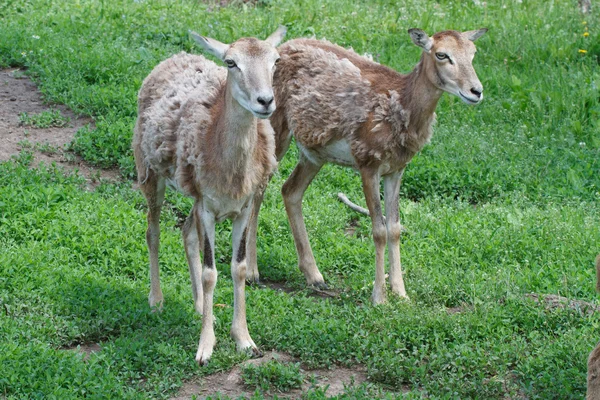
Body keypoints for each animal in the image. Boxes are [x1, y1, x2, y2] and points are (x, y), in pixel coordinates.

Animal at [133, 26, 286, 366]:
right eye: (231, 62)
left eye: (275, 61)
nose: (265, 101)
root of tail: (174, 57)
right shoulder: (207, 207)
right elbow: (210, 273)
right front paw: (205, 349)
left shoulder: (242, 207)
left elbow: (238, 269)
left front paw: (244, 340)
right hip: (149, 171)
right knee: (152, 232)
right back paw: (156, 300)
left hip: (193, 193)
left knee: (186, 230)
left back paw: (202, 307)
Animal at [246, 28, 486, 304]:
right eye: (442, 54)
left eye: (473, 53)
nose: (476, 91)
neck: (403, 106)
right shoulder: (367, 161)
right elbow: (378, 230)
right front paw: (379, 297)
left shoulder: (397, 168)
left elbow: (395, 228)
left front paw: (401, 293)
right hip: (275, 125)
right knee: (258, 187)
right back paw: (252, 272)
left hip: (315, 152)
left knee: (290, 190)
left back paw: (314, 275)